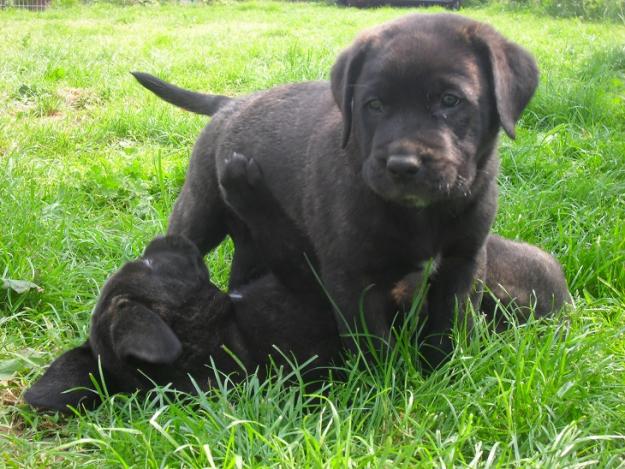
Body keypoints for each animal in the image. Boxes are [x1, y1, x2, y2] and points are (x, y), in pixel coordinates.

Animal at [132, 13, 560, 366]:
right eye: (374, 105)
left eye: (450, 101)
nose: (401, 165)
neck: (419, 213)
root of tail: (229, 104)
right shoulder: (351, 278)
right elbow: (374, 345)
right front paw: (388, 392)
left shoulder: (464, 261)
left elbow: (449, 328)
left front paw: (446, 375)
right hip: (199, 212)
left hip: (250, 236)